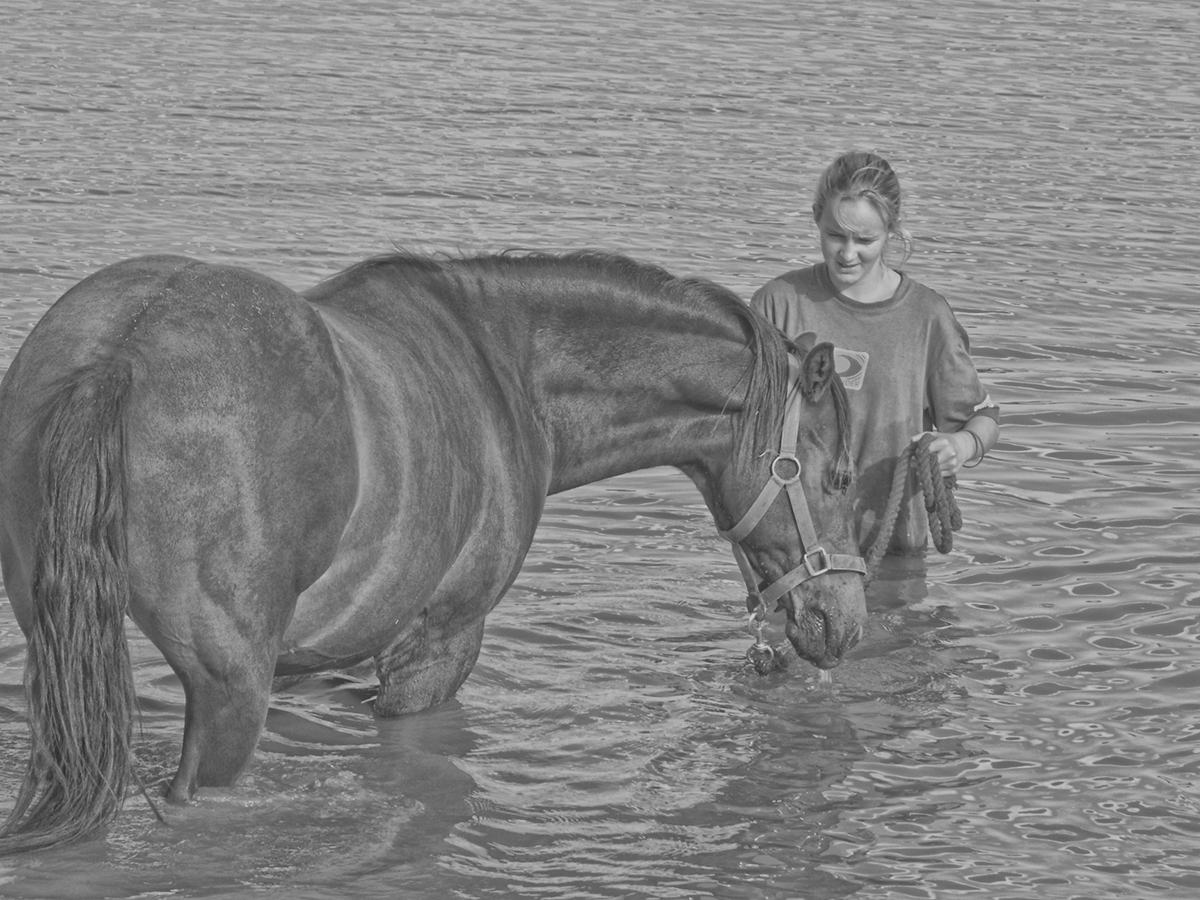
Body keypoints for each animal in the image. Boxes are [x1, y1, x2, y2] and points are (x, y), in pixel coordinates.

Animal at [0, 248, 868, 854]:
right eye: (840, 475)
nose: (846, 622)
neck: (508, 374)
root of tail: (122, 351)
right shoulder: (439, 649)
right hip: (227, 694)